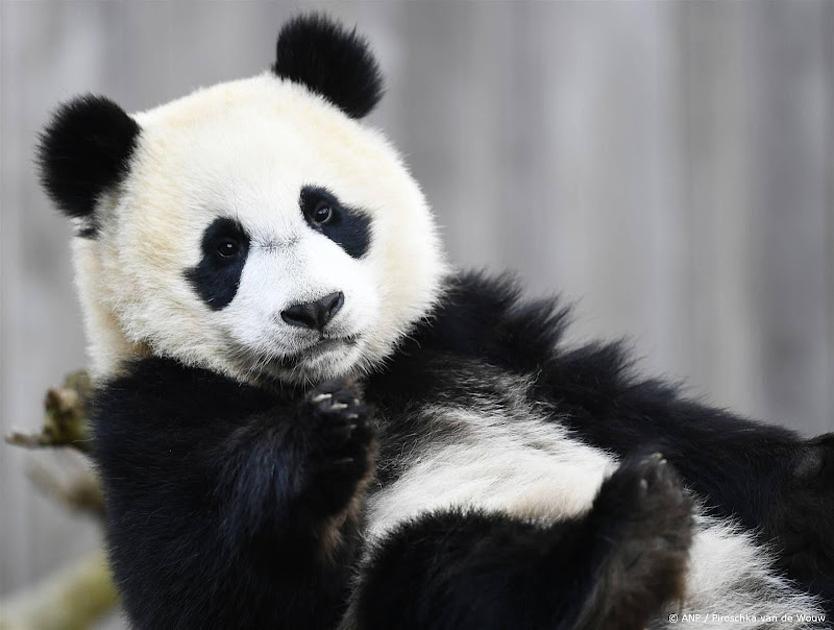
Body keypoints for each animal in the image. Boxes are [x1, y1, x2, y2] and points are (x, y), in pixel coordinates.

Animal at [37, 13, 832, 630]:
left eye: (323, 210)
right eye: (225, 248)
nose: (315, 310)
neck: (353, 377)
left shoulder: (472, 333)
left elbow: (657, 423)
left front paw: (811, 473)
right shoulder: (149, 418)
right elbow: (211, 586)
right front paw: (320, 448)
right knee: (443, 563)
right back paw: (620, 554)